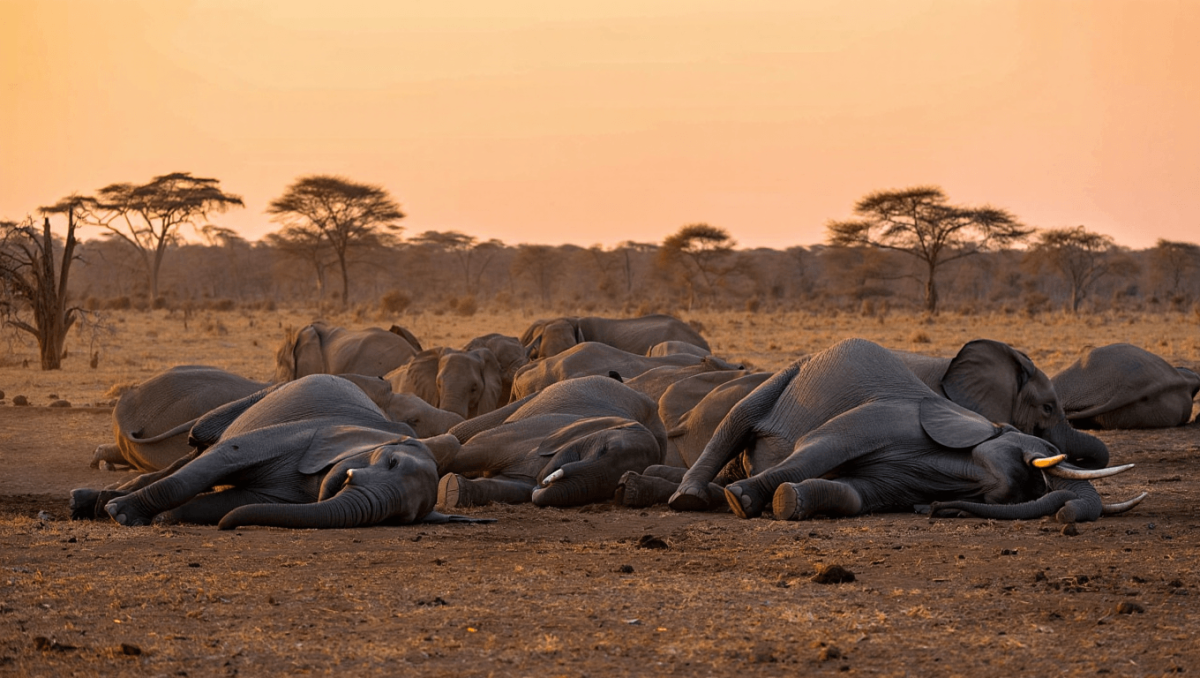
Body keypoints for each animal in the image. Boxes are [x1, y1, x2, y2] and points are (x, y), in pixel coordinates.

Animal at [431, 375, 666, 508]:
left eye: (617, 487)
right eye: (604, 450)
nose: (541, 486)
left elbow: (508, 487)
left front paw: (453, 488)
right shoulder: (539, 429)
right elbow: (464, 450)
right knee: (459, 432)